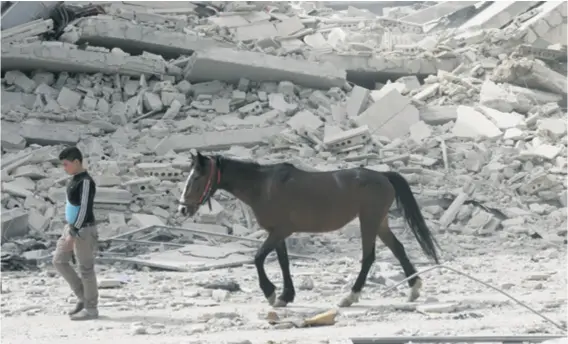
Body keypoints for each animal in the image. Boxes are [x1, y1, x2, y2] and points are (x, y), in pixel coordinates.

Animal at [178, 152, 440, 308]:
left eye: (197, 177)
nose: (182, 209)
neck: (262, 187)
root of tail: (384, 176)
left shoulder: (280, 230)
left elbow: (258, 258)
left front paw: (270, 293)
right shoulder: (277, 233)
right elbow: (283, 262)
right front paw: (286, 296)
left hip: (369, 220)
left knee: (369, 257)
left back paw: (350, 296)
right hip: (380, 222)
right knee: (399, 249)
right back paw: (414, 289)